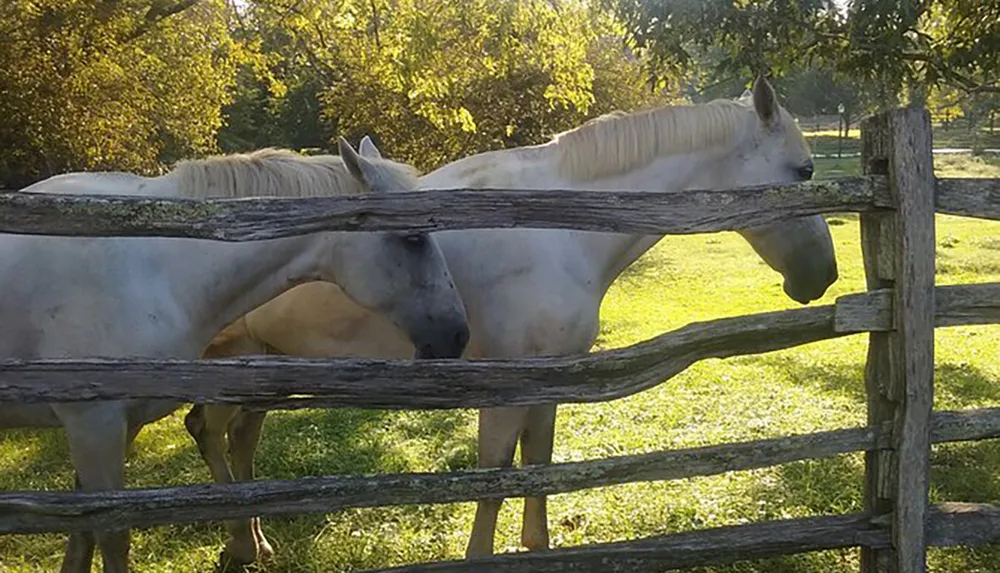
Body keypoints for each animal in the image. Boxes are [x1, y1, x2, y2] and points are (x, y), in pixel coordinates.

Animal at [1, 140, 470, 572]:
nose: (457, 335)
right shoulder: (93, 424)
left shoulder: (117, 425)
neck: (154, 267)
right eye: (413, 238)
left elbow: (82, 529)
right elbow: (111, 535)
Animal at [186, 73, 836, 560]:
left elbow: (537, 465)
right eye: (803, 172)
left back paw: (255, 541)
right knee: (210, 432)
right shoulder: (505, 385)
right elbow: (495, 475)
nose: (824, 276)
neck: (558, 228)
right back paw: (241, 545)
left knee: (235, 438)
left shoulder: (550, 379)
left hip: (264, 367)